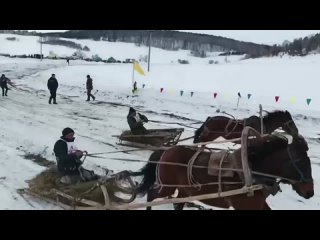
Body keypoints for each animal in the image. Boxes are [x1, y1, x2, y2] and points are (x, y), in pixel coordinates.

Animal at [134, 135, 312, 210]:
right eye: (299, 162)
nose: (310, 192)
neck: (250, 171)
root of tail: (166, 150)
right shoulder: (245, 205)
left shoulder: (258, 203)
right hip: (167, 186)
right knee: (151, 195)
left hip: (185, 190)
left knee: (177, 204)